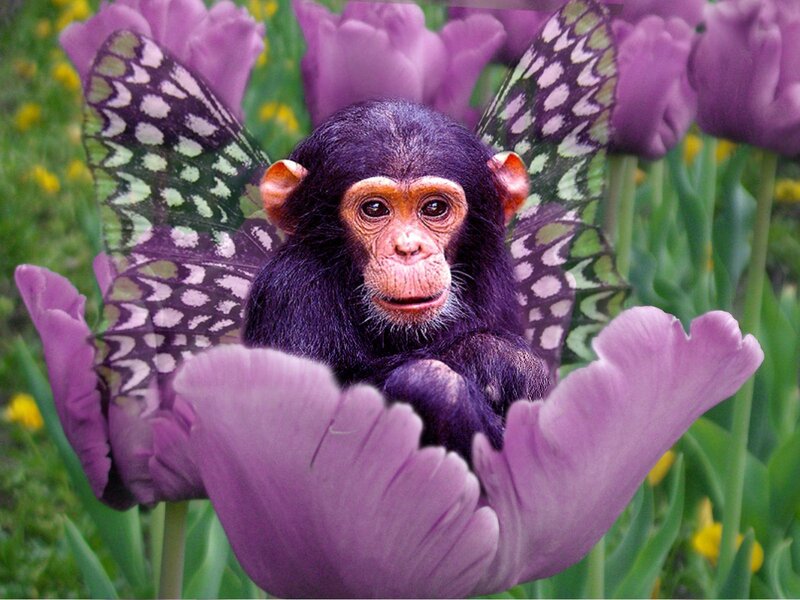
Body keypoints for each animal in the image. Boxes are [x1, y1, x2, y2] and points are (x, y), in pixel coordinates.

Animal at [243, 99, 550, 461]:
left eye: (434, 207)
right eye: (375, 209)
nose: (408, 248)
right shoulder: (290, 289)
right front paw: (498, 355)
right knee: (432, 385)